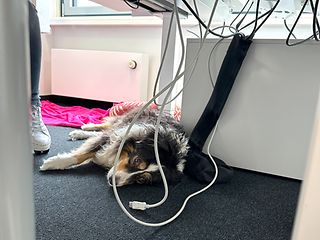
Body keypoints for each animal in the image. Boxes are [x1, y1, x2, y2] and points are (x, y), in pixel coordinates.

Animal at [40, 107, 190, 188]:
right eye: (136, 160)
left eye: (141, 180)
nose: (113, 181)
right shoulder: (118, 135)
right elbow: (83, 153)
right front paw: (53, 163)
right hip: (125, 119)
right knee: (105, 126)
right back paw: (85, 128)